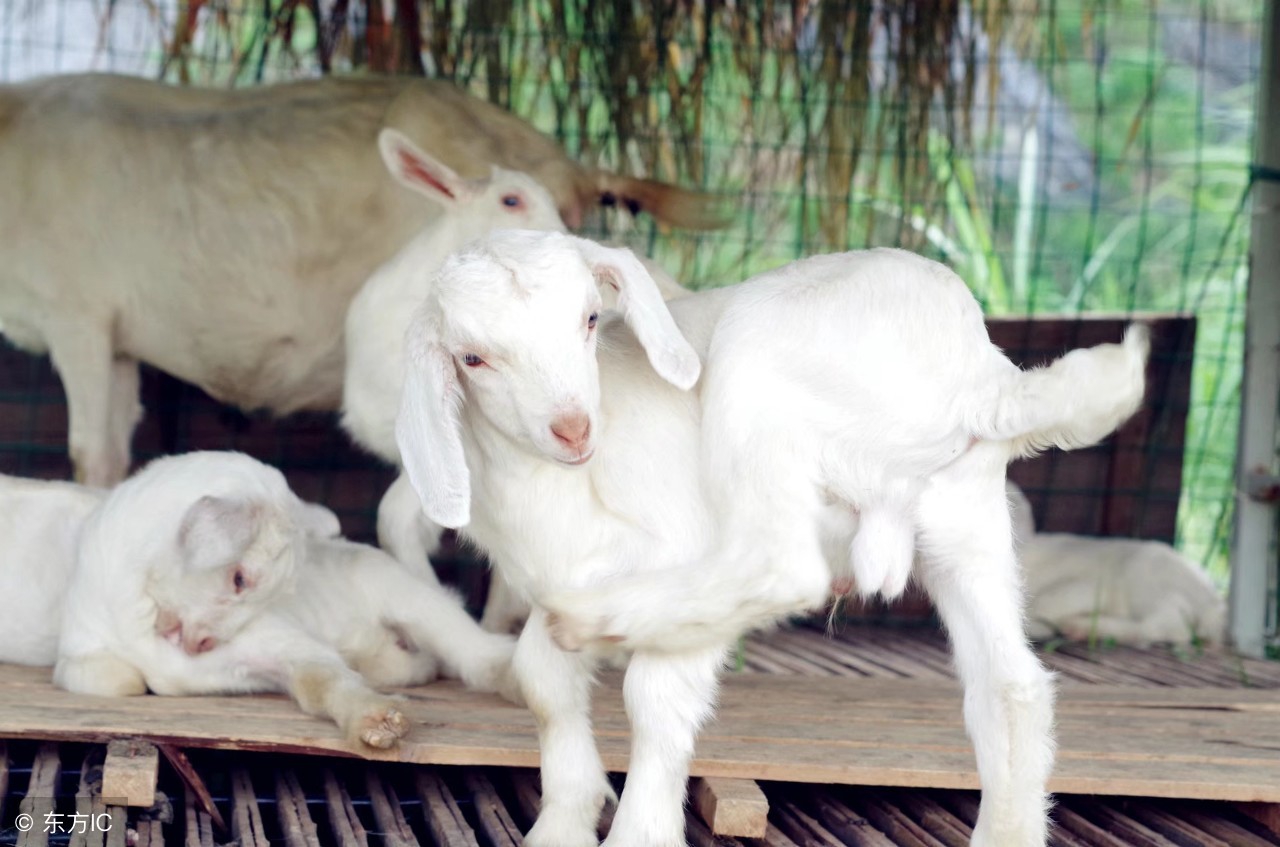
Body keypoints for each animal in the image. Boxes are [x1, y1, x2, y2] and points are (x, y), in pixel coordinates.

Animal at [33, 450, 514, 752]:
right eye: (239, 577)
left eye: (268, 594)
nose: (200, 645)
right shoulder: (85, 651)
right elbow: (115, 679)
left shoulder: (276, 643)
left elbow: (320, 679)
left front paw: (375, 723)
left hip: (403, 593)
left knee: (469, 648)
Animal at [1003, 483, 1223, 649]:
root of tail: (1213, 604)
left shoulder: (1086, 586)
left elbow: (1044, 604)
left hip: (1144, 577)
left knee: (1169, 625)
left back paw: (1082, 627)